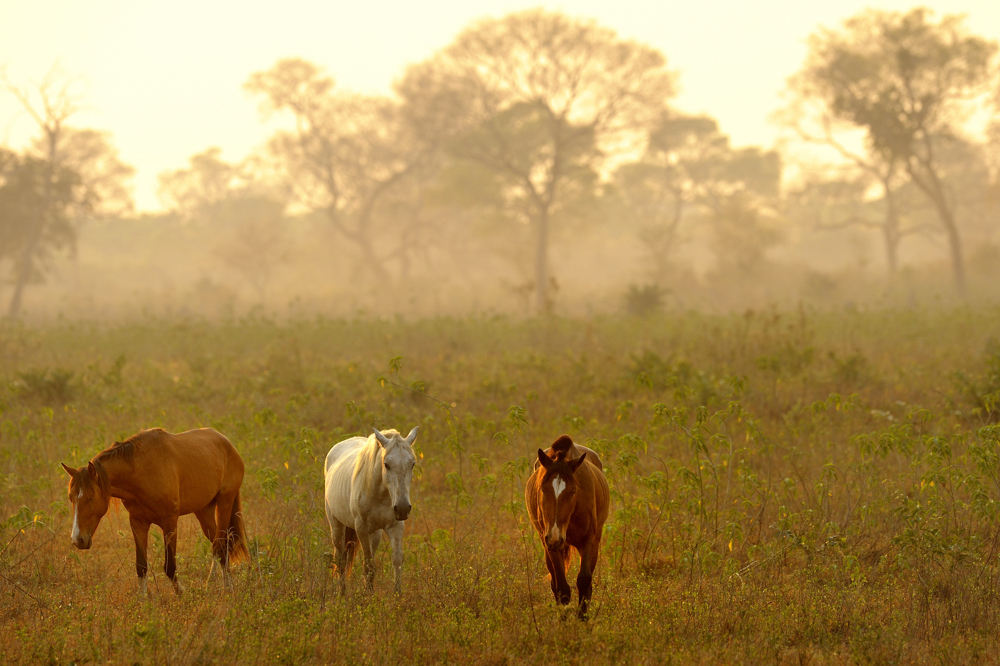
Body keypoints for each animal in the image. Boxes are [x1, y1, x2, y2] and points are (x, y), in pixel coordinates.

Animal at [60, 428, 248, 592]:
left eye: (91, 497)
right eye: (71, 498)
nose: (78, 540)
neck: (142, 471)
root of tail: (228, 444)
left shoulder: (170, 522)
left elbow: (170, 566)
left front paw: (182, 594)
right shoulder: (138, 523)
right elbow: (141, 566)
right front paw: (143, 601)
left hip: (225, 502)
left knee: (220, 544)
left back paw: (220, 585)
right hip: (204, 510)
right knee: (221, 545)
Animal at [324, 426, 418, 592]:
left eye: (412, 464)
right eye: (386, 464)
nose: (402, 508)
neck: (382, 495)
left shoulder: (396, 526)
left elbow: (397, 561)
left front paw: (397, 594)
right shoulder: (362, 529)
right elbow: (368, 566)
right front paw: (368, 595)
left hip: (375, 533)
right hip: (336, 525)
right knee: (340, 559)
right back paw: (341, 593)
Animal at [524, 436, 608, 616]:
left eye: (573, 491)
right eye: (543, 489)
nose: (555, 537)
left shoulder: (588, 540)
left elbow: (584, 581)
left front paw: (582, 618)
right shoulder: (550, 544)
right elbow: (561, 587)